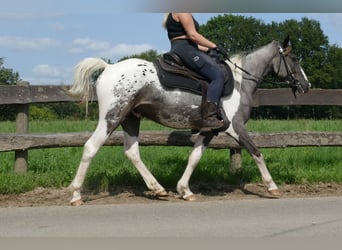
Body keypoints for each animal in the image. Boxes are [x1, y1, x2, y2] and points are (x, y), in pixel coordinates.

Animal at [67, 36, 310, 205]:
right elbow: (256, 152)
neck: (240, 82)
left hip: (131, 119)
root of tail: (108, 67)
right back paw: (76, 194)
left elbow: (194, 157)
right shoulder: (235, 127)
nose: (306, 85)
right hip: (112, 117)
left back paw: (158, 188)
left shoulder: (210, 130)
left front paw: (185, 190)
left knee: (132, 152)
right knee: (91, 147)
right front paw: (272, 186)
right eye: (294, 58)